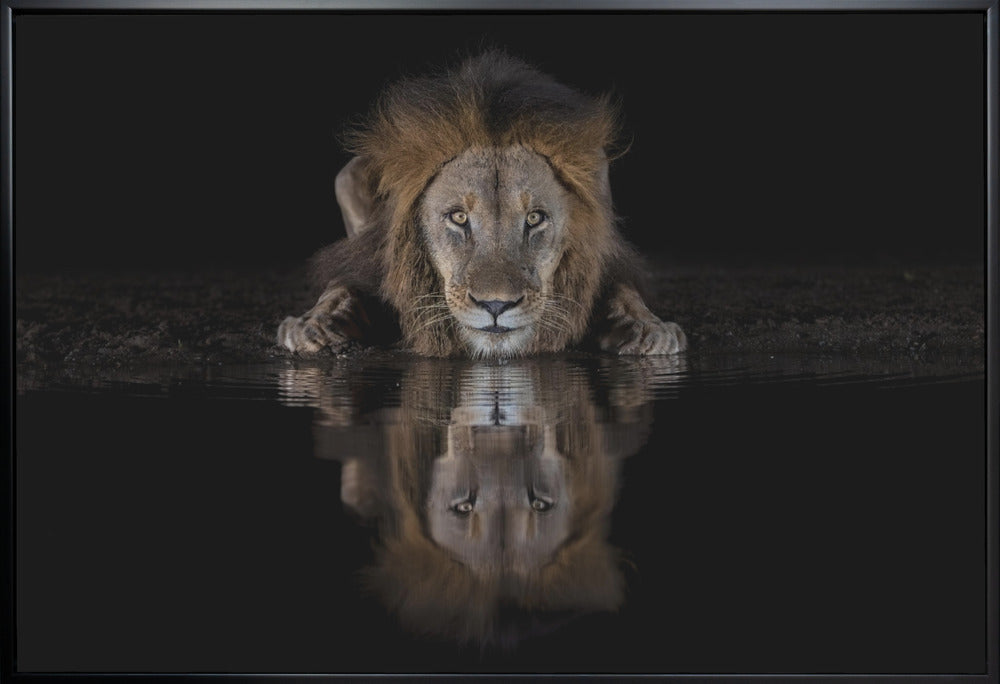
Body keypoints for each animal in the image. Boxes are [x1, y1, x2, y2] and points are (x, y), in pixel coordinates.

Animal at [277, 51, 687, 359]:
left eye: (535, 218)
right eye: (459, 217)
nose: (496, 306)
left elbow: (623, 291)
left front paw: (648, 328)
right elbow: (342, 285)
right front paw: (314, 324)